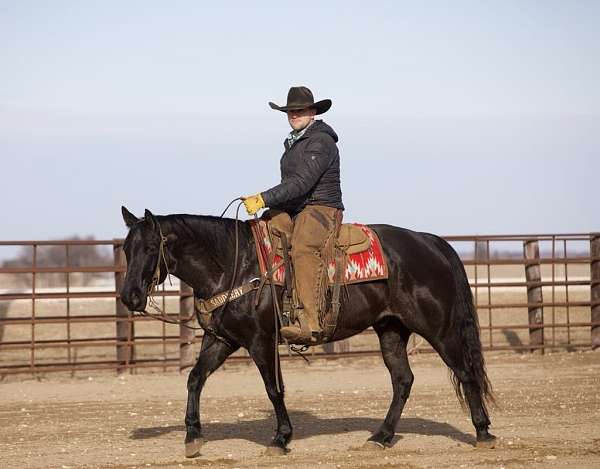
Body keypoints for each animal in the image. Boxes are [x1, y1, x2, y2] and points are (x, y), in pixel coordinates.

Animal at [119, 207, 494, 456]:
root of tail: (430, 242)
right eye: (125, 248)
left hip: (438, 328)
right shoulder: (221, 339)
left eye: (150, 248)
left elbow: (274, 389)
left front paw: (281, 438)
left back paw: (483, 432)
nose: (129, 296)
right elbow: (195, 379)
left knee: (465, 372)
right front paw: (192, 436)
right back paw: (380, 437)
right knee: (403, 380)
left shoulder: (261, 341)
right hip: (391, 329)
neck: (233, 264)